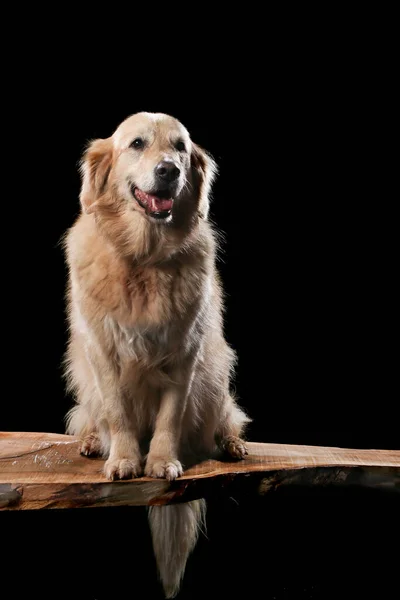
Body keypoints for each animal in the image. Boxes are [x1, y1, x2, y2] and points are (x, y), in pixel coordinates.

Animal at [63, 111, 248, 596]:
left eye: (181, 147)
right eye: (137, 144)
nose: (170, 170)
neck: (143, 257)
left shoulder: (186, 353)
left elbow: (169, 417)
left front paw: (162, 460)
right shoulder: (102, 351)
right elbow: (117, 412)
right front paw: (125, 459)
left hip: (217, 368)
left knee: (225, 417)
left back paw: (231, 442)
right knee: (91, 414)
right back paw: (93, 440)